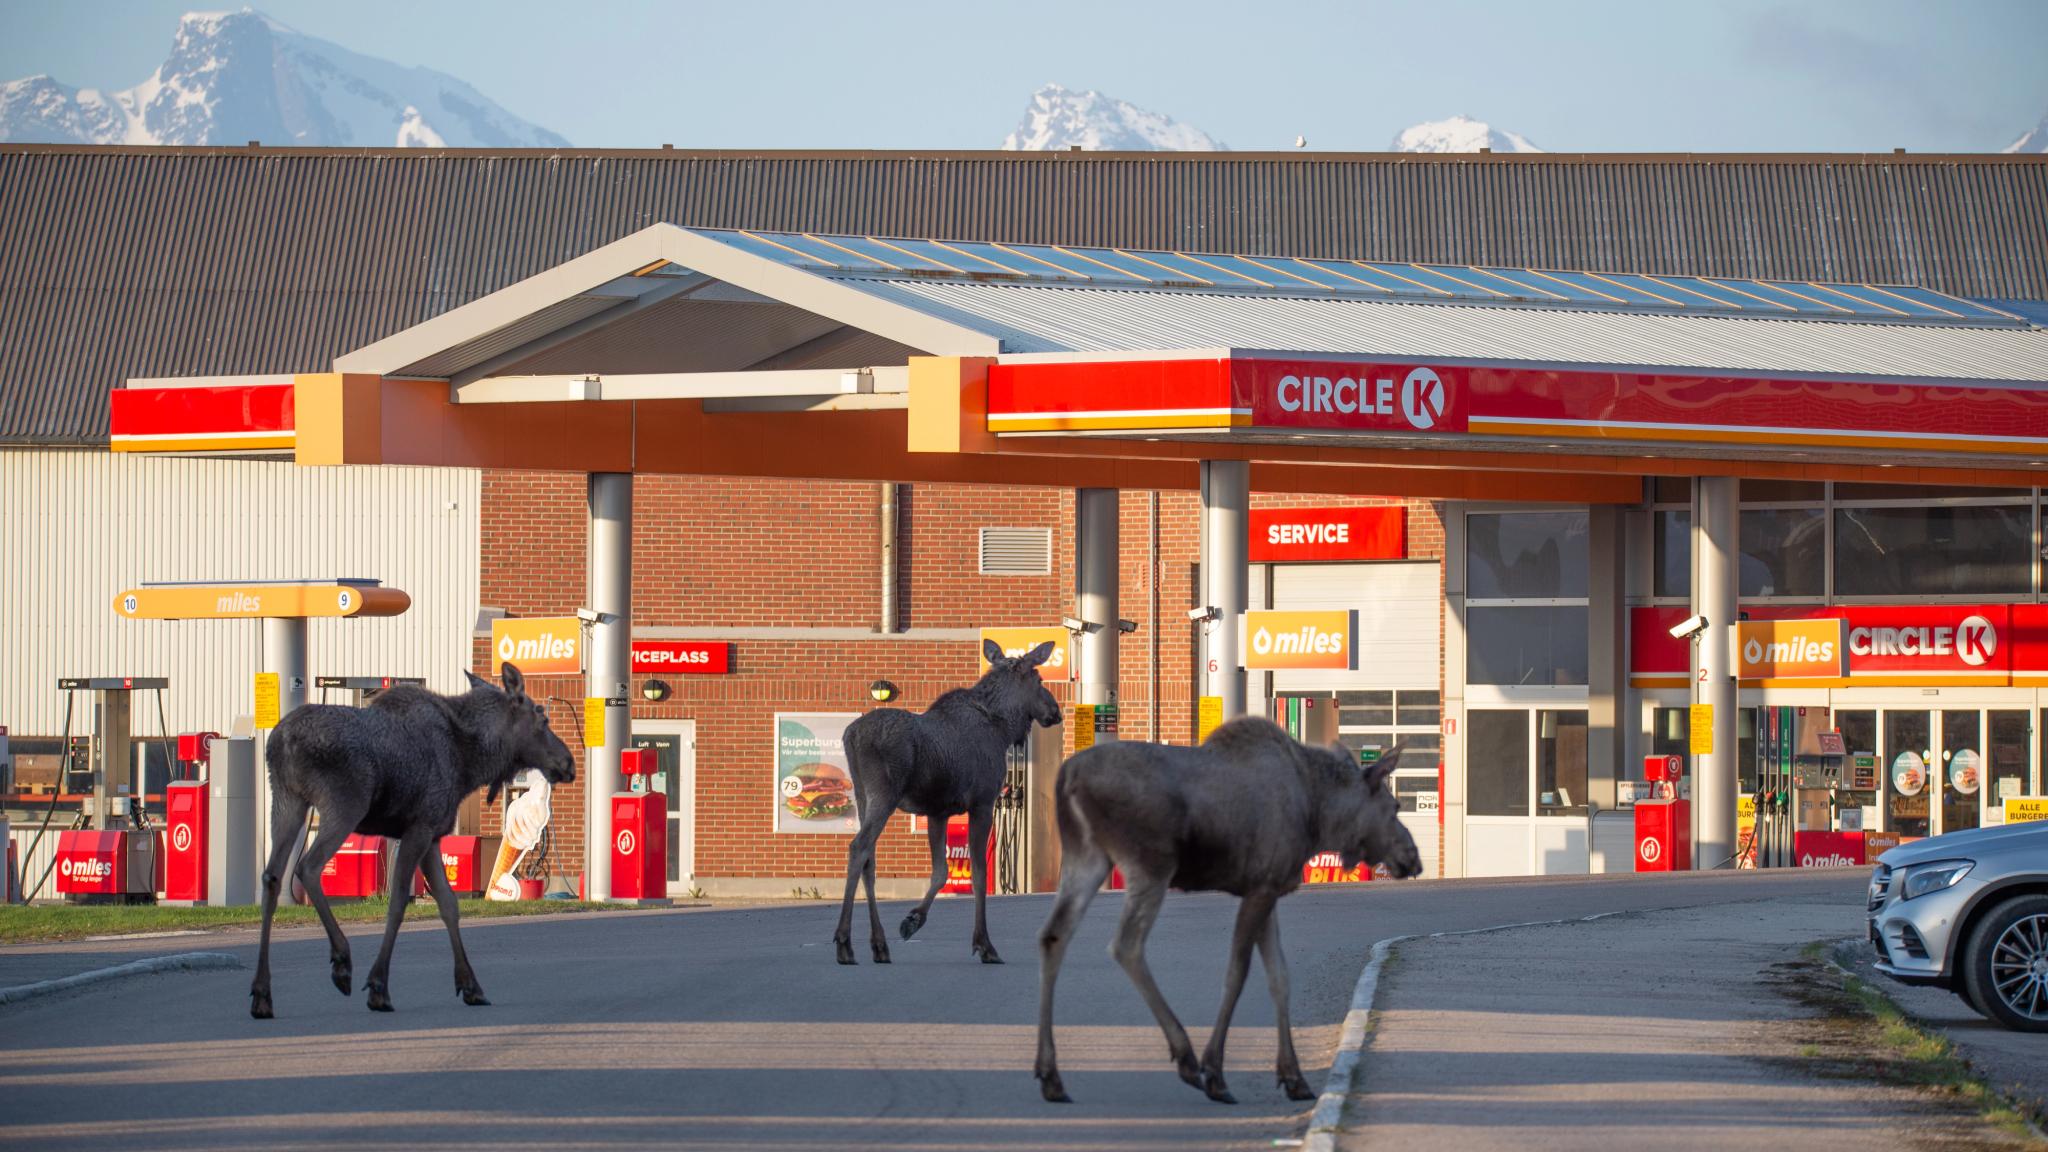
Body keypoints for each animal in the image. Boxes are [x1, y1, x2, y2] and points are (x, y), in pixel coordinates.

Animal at [249, 663, 576, 1018]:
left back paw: (262, 993)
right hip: (344, 804)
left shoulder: (432, 836)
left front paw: (470, 986)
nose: (568, 762)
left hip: (287, 800)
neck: (471, 762)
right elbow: (399, 902)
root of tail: (281, 743)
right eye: (542, 718)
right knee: (308, 867)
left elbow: (448, 904)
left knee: (272, 877)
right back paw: (342, 962)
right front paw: (378, 987)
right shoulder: (419, 828)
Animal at [833, 639, 1063, 966]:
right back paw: (844, 943)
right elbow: (978, 873)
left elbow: (940, 871)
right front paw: (984, 944)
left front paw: (912, 920)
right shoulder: (982, 803)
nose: (1056, 711)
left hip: (863, 796)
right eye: (1040, 680)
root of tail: (850, 735)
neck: (1003, 729)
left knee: (870, 859)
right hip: (884, 794)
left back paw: (879, 945)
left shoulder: (937, 811)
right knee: (859, 848)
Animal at [1034, 717, 1420, 1105]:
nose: (1413, 858)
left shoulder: (1265, 888)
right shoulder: (1261, 889)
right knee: (1126, 945)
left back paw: (1051, 1075)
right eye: (1395, 806)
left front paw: (1293, 1076)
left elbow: (1279, 977)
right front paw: (1216, 1072)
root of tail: (1067, 776)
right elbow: (1237, 974)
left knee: (1054, 935)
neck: (1319, 815)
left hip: (1087, 856)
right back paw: (1187, 1058)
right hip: (1150, 864)